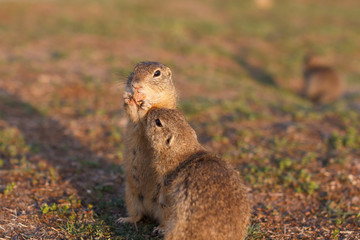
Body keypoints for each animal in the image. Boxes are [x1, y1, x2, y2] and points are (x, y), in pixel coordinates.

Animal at [117, 62, 178, 225]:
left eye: (157, 73)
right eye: (135, 69)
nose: (136, 85)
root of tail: (150, 207)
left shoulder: (164, 104)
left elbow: (151, 112)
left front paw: (146, 105)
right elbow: (132, 113)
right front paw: (127, 98)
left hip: (166, 207)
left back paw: (160, 227)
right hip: (131, 196)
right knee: (138, 215)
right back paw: (124, 219)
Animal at [145, 108, 252, 239]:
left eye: (158, 122)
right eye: (179, 114)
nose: (152, 109)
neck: (183, 152)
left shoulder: (166, 179)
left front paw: (160, 227)